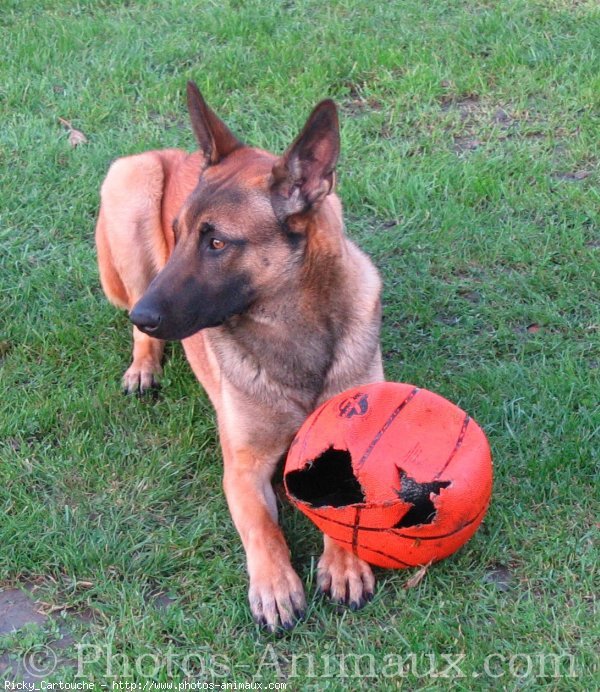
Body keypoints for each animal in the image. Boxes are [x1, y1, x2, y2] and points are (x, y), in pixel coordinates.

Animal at [95, 82, 384, 632]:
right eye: (178, 231)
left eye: (217, 242)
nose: (143, 317)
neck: (294, 329)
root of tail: (175, 152)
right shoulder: (244, 468)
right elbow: (262, 530)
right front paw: (274, 585)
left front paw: (344, 561)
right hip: (129, 183)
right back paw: (143, 365)